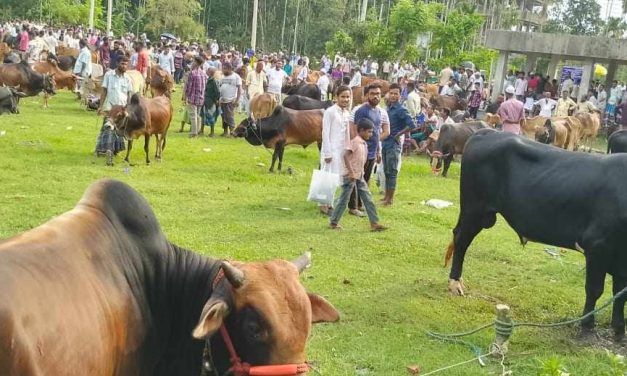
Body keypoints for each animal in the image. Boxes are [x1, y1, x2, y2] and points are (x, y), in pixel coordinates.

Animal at [444, 129, 627, 338]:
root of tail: (488, 132)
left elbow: (621, 293)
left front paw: (619, 329)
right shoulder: (597, 245)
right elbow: (595, 289)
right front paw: (587, 326)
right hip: (474, 209)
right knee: (461, 240)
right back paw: (455, 283)